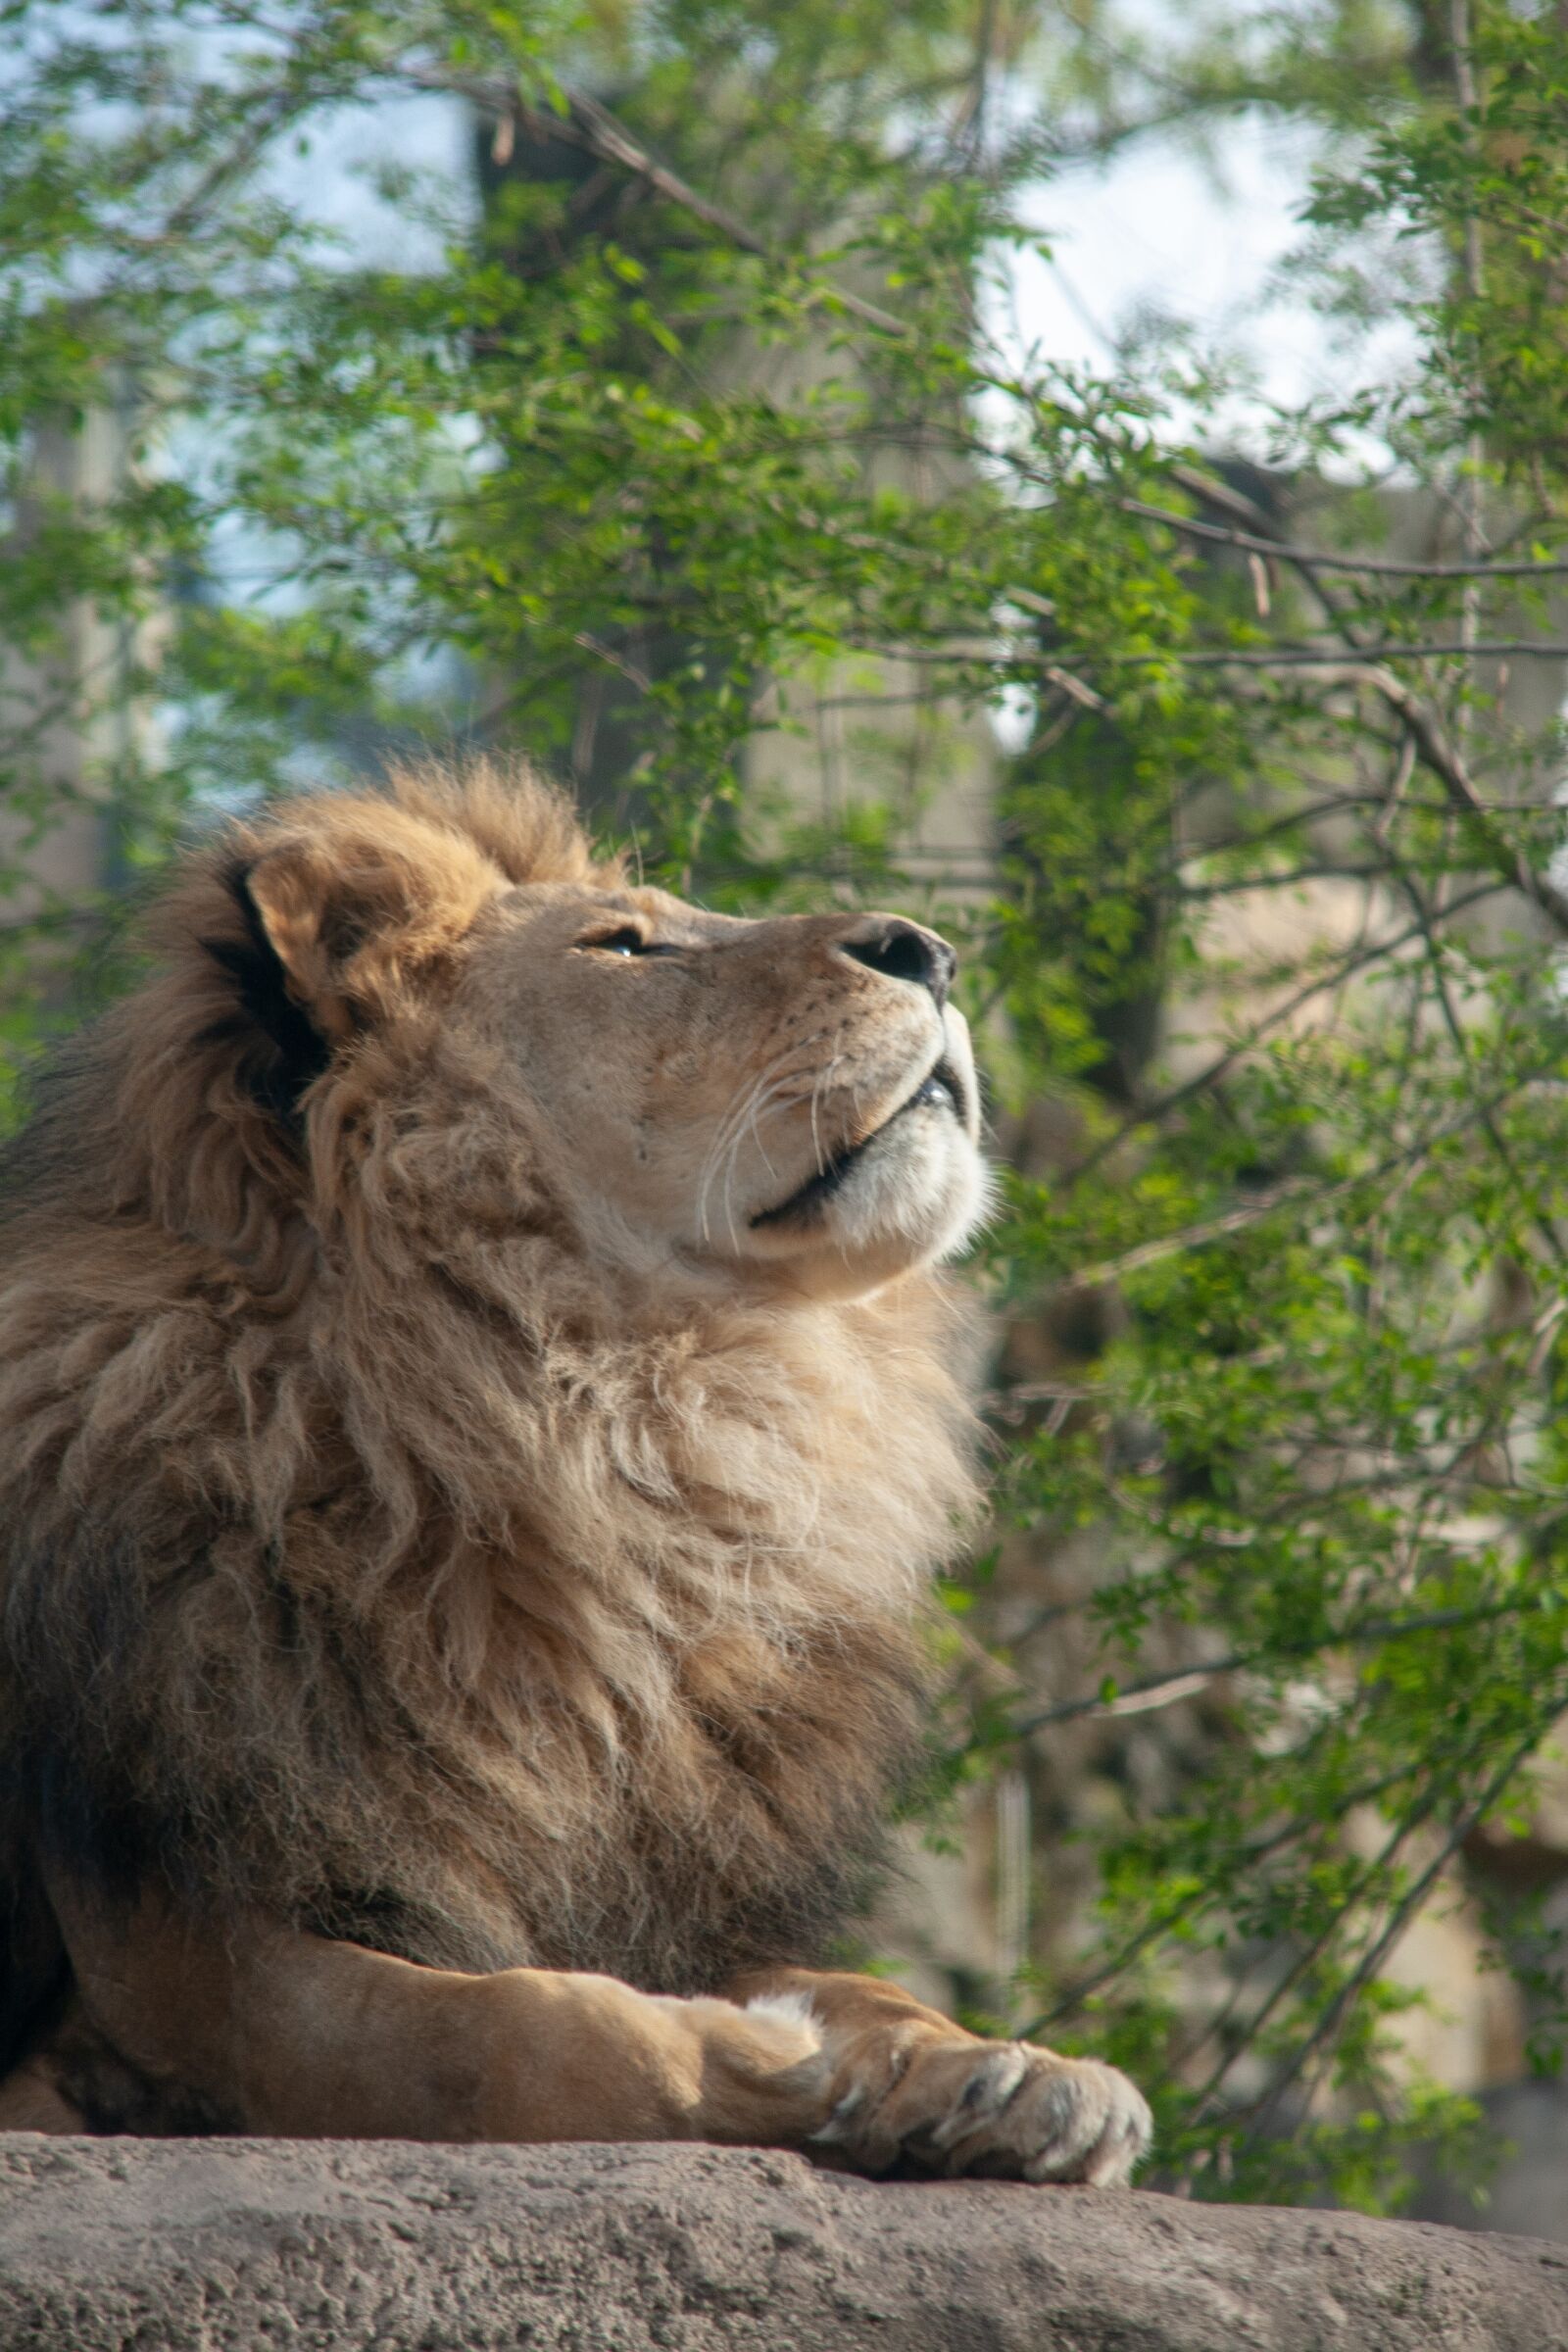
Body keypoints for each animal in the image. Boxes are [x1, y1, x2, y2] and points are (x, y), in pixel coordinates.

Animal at [0, 756, 1150, 2183]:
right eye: (624, 945)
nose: (929, 952)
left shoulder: (667, 1891)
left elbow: (851, 1984)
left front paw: (1004, 2072)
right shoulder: (181, 1967)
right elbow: (520, 2033)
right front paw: (765, 2059)